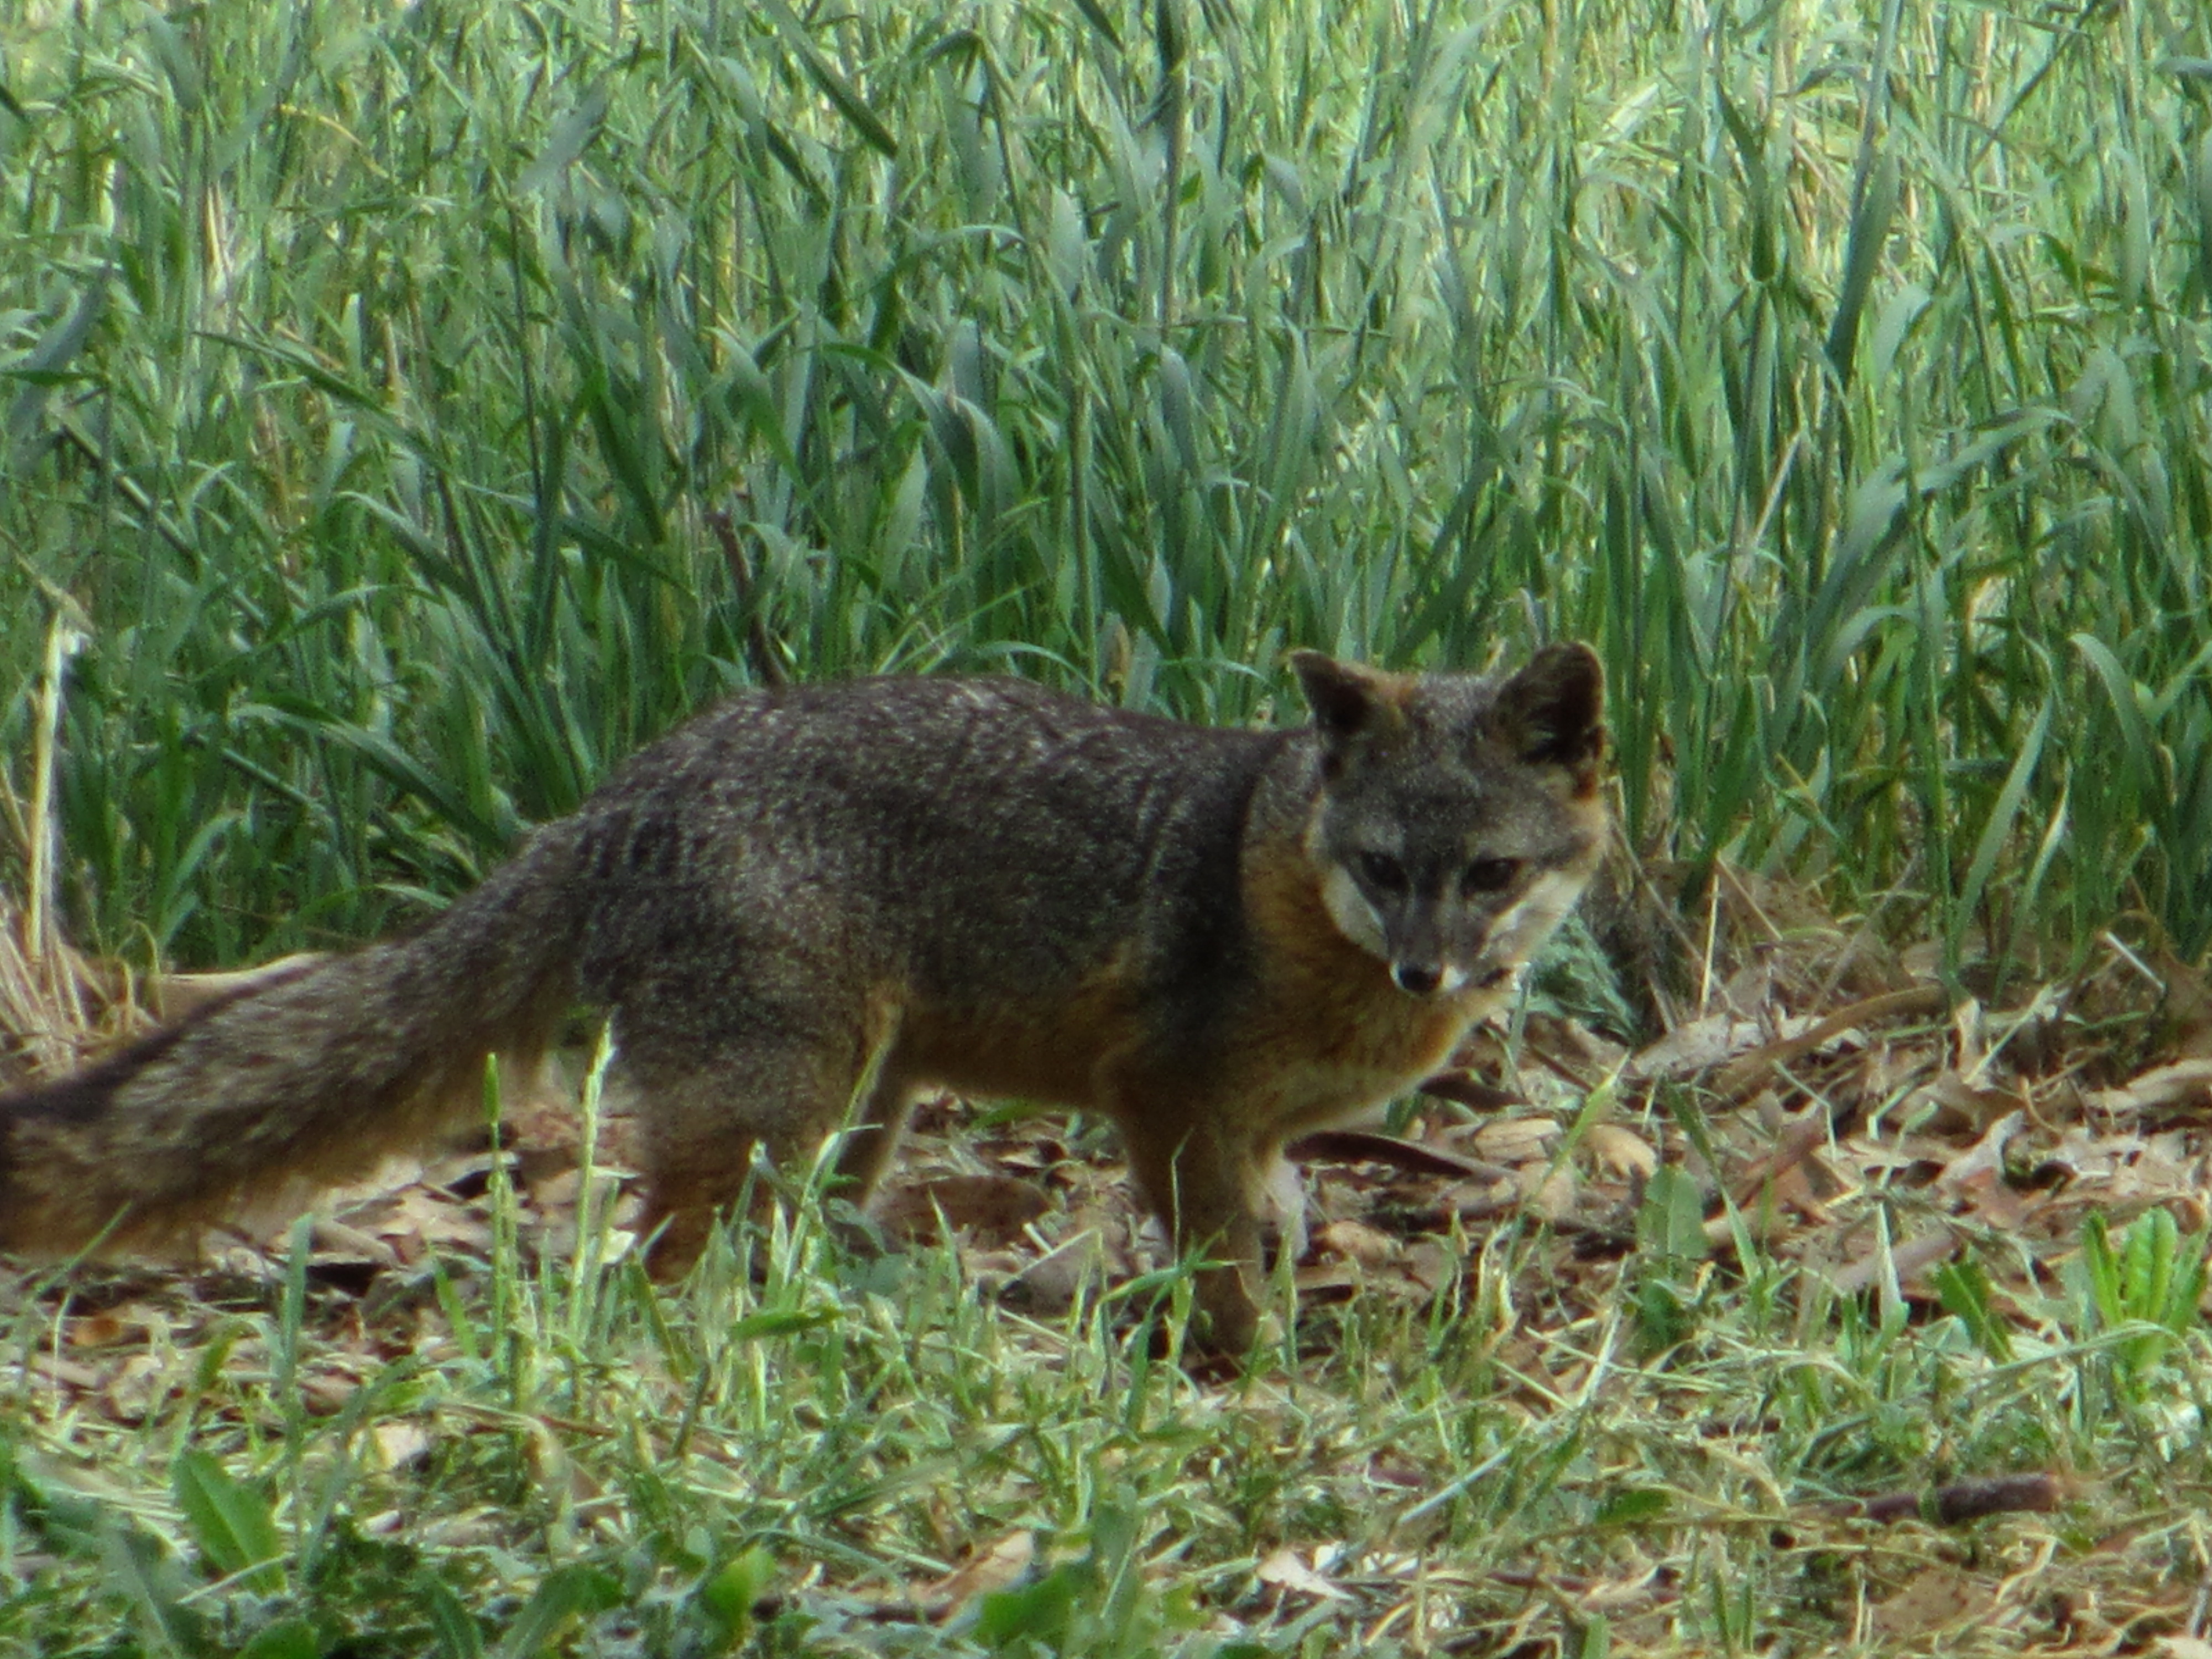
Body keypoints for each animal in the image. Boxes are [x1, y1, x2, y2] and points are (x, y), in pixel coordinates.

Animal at [0, 644, 1606, 1353]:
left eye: (1487, 873)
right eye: (1384, 867)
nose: (1427, 967)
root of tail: (613, 798)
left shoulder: (1251, 1135)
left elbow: (1267, 1228)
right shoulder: (1167, 1101)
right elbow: (1216, 1264)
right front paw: (1242, 1364)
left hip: (857, 1109)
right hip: (783, 1100)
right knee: (656, 1254)